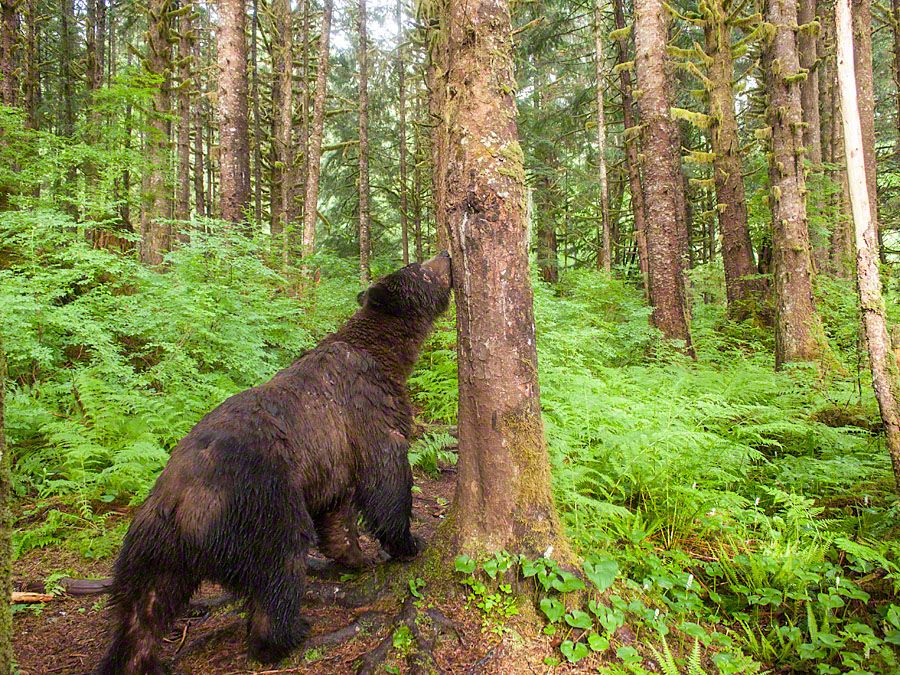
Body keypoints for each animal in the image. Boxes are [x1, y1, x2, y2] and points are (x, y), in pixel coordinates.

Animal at [96, 254, 458, 675]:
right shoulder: (366, 409)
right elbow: (386, 477)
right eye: (419, 267)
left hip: (150, 548)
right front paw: (407, 542)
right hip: (261, 505)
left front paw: (354, 554)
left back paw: (135, 658)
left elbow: (338, 508)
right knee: (279, 570)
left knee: (142, 608)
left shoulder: (331, 457)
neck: (386, 354)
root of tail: (182, 505)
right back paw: (287, 635)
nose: (447, 255)